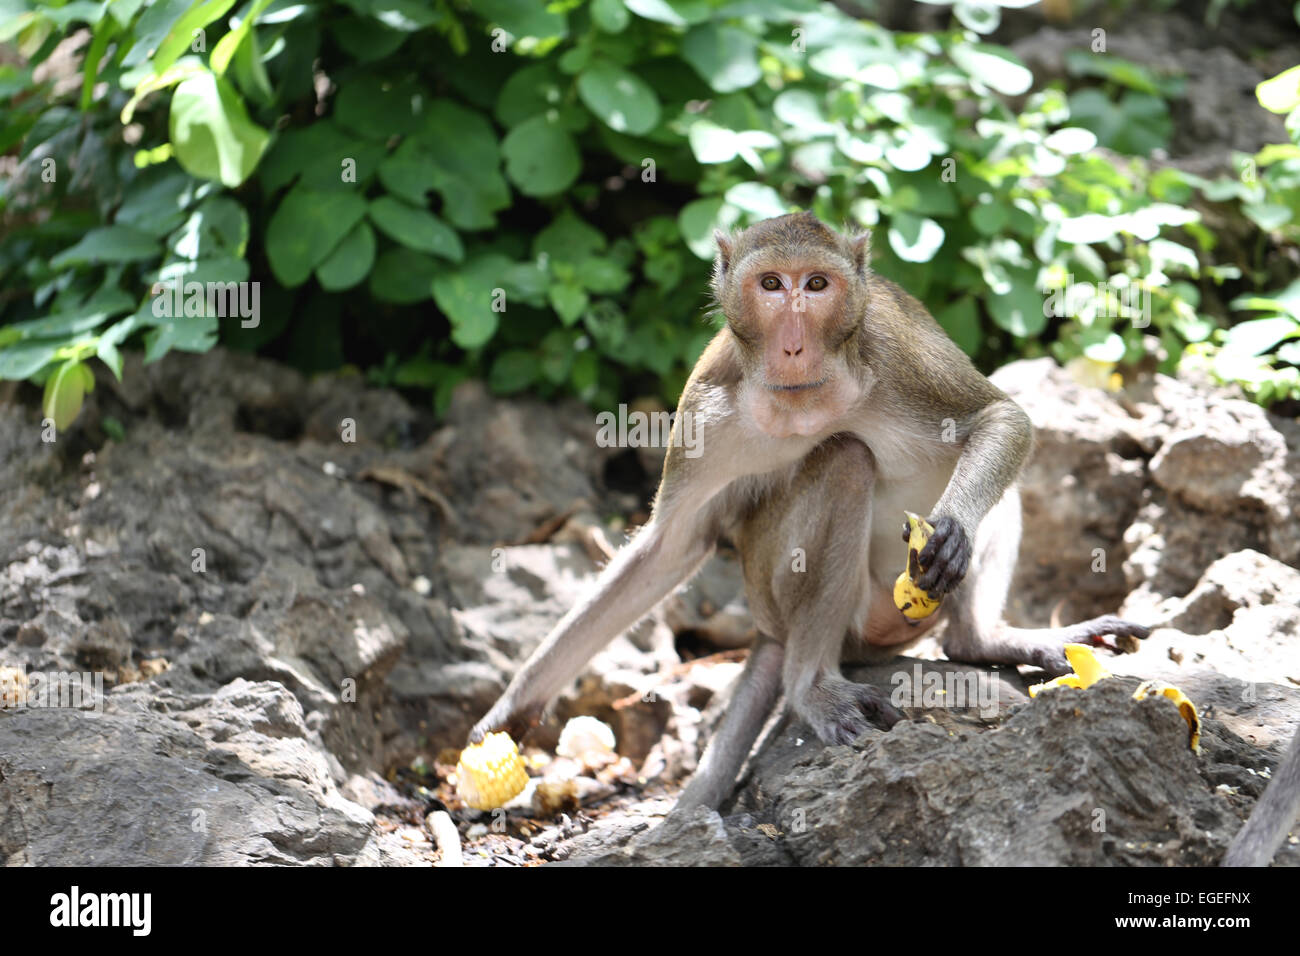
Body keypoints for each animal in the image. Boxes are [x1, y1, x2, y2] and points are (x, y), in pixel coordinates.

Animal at [467, 213, 1149, 811]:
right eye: (772, 285)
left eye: (816, 286)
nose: (793, 344)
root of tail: (771, 632)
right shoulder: (704, 409)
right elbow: (670, 547)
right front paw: (511, 710)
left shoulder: (896, 350)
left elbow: (999, 418)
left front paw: (952, 527)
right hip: (815, 606)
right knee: (845, 460)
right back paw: (811, 686)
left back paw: (983, 638)